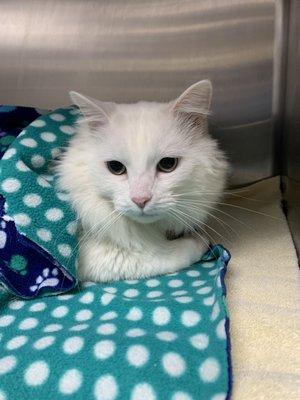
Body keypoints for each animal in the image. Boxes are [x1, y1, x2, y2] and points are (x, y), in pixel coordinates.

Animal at [57, 80, 227, 282]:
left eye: (168, 164)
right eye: (115, 167)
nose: (140, 200)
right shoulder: (104, 257)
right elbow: (167, 254)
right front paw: (200, 239)